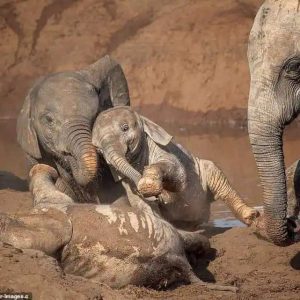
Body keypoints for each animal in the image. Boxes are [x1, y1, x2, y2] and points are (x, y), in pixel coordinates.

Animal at [92, 105, 258, 230]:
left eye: (125, 128)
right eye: (98, 149)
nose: (157, 197)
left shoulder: (161, 149)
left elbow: (178, 174)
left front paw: (148, 185)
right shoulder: (126, 181)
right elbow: (139, 202)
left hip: (206, 170)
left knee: (222, 186)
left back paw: (251, 216)